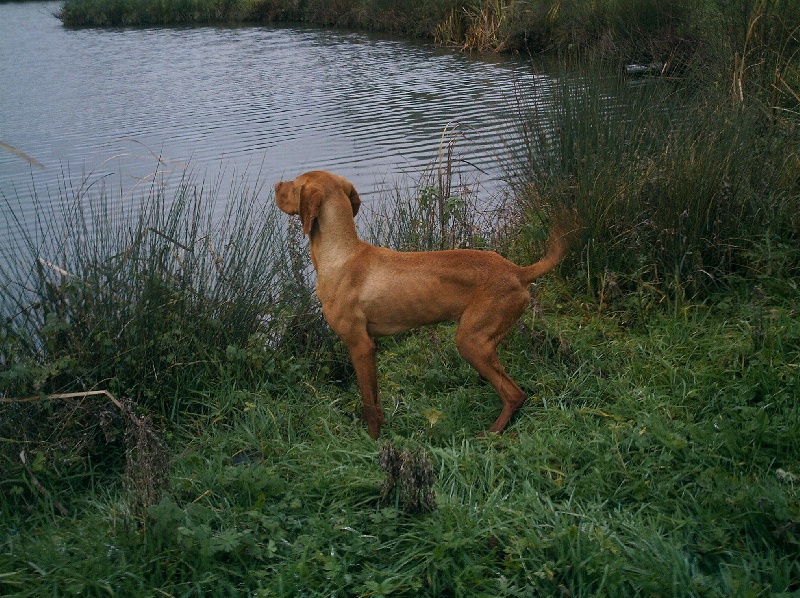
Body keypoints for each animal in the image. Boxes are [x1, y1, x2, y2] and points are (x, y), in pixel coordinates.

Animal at [276, 171, 568, 438]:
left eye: (294, 184)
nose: (276, 184)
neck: (341, 255)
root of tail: (518, 271)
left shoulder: (359, 345)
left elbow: (369, 406)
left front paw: (373, 444)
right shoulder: (370, 346)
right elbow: (376, 402)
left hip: (472, 341)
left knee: (514, 394)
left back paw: (491, 434)